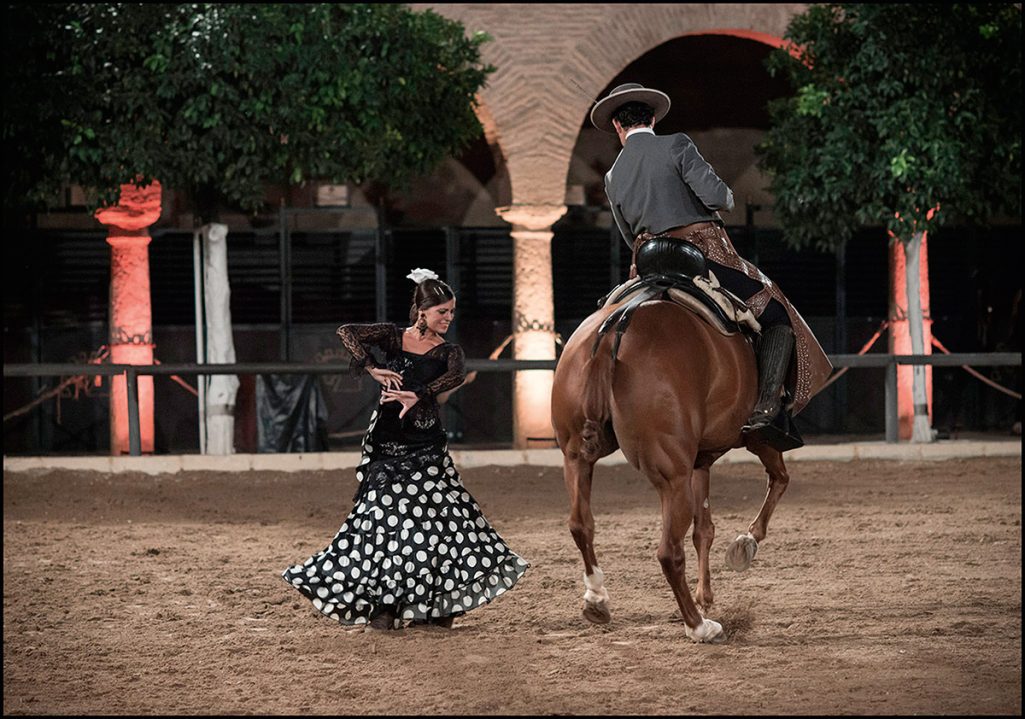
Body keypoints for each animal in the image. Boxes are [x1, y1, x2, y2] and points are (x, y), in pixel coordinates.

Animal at [550, 287, 792, 643]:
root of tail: (612, 333)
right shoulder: (759, 439)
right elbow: (779, 479)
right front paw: (745, 543)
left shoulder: (700, 462)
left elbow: (705, 529)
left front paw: (706, 594)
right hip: (672, 480)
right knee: (669, 552)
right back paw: (698, 626)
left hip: (576, 459)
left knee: (581, 525)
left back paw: (597, 599)